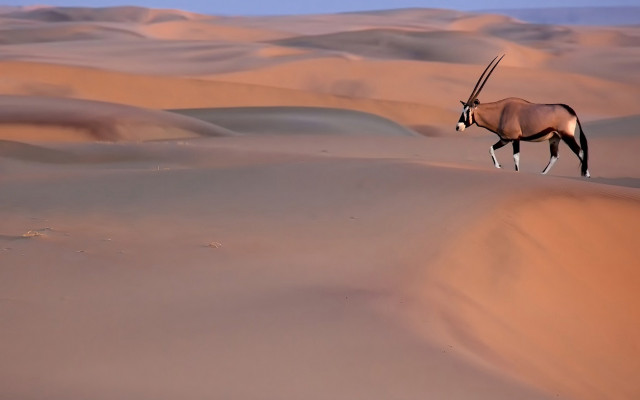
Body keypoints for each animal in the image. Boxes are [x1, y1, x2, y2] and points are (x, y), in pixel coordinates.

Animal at [456, 55, 590, 177]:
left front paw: (516, 172)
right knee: (554, 156)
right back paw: (542, 174)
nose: (458, 127)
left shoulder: (515, 138)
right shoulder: (505, 139)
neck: (501, 112)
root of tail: (572, 112)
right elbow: (491, 148)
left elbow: (516, 157)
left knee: (580, 152)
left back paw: (587, 176)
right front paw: (498, 166)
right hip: (554, 138)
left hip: (567, 136)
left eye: (468, 111)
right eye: (463, 110)